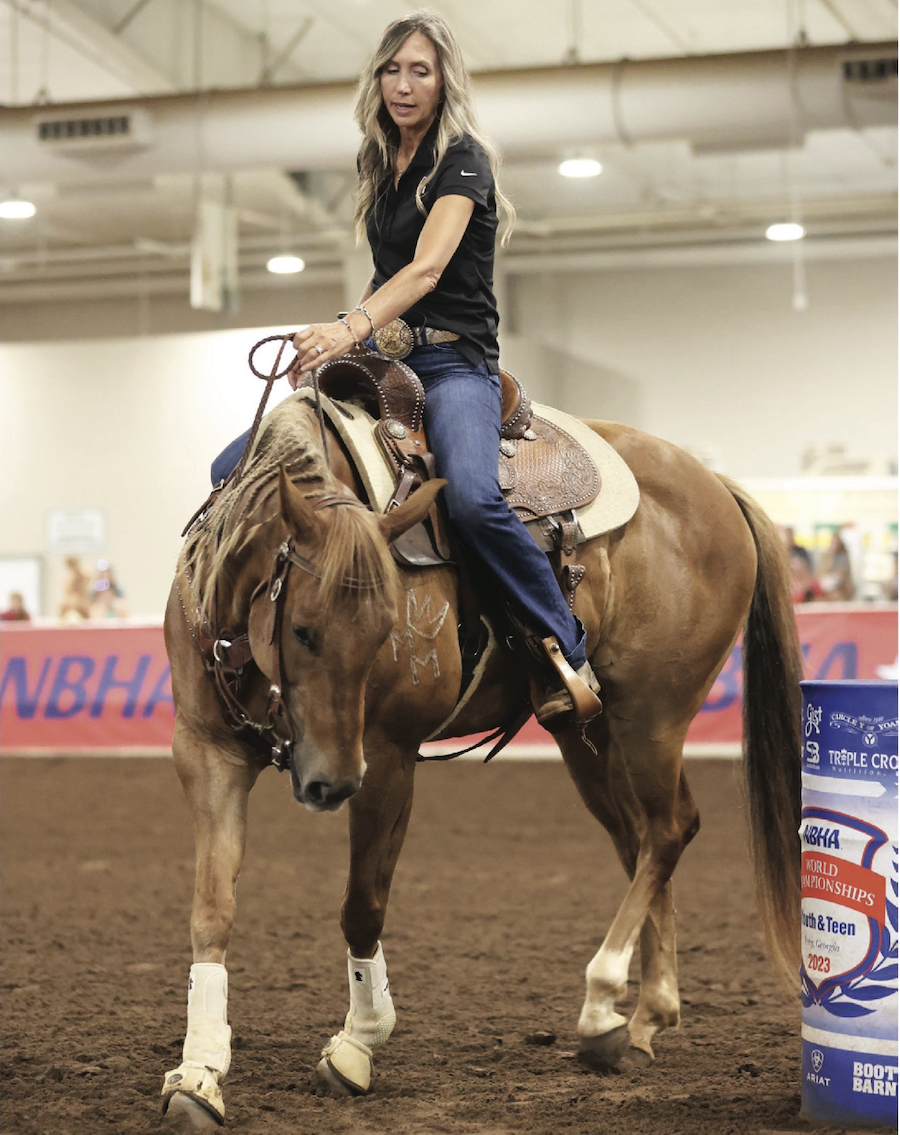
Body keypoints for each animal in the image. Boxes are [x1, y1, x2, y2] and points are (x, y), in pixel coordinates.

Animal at [160, 387, 803, 1127]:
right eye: (303, 630)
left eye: (385, 629)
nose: (331, 782)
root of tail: (716, 485)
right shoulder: (207, 752)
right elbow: (211, 911)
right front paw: (199, 1073)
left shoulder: (388, 753)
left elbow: (362, 905)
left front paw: (358, 1042)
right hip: (588, 734)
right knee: (642, 839)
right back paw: (642, 1019)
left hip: (653, 715)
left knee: (669, 829)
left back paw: (601, 1001)